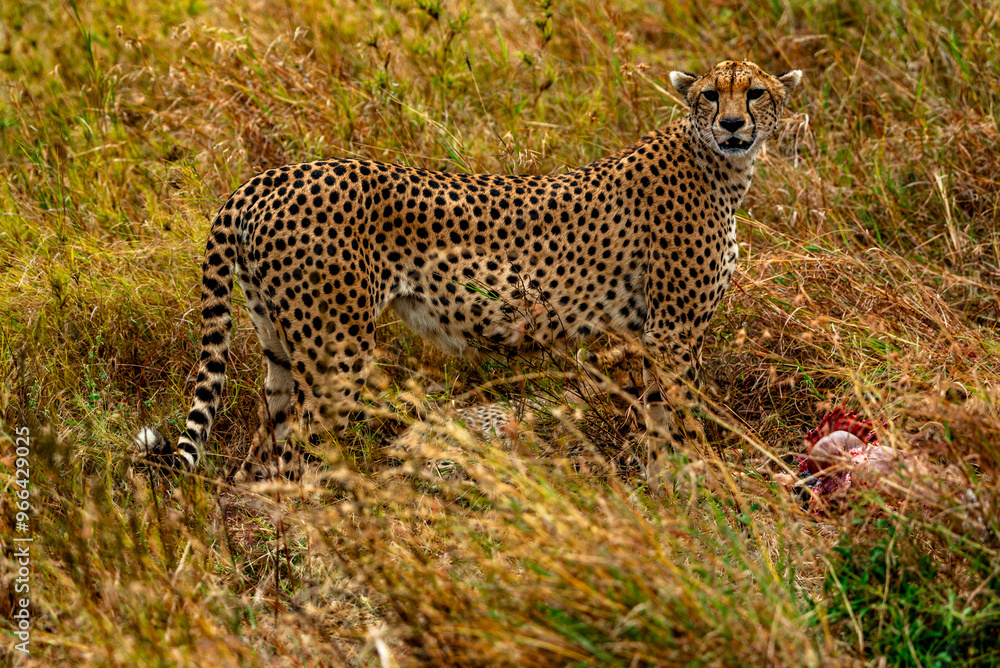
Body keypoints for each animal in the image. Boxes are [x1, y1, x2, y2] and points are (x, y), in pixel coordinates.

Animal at [134, 60, 802, 490]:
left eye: (756, 94)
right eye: (712, 95)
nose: (734, 125)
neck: (720, 166)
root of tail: (267, 176)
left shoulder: (652, 334)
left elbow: (661, 419)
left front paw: (669, 490)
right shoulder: (673, 332)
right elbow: (686, 416)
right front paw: (704, 488)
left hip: (278, 341)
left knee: (261, 451)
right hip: (335, 351)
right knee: (302, 451)